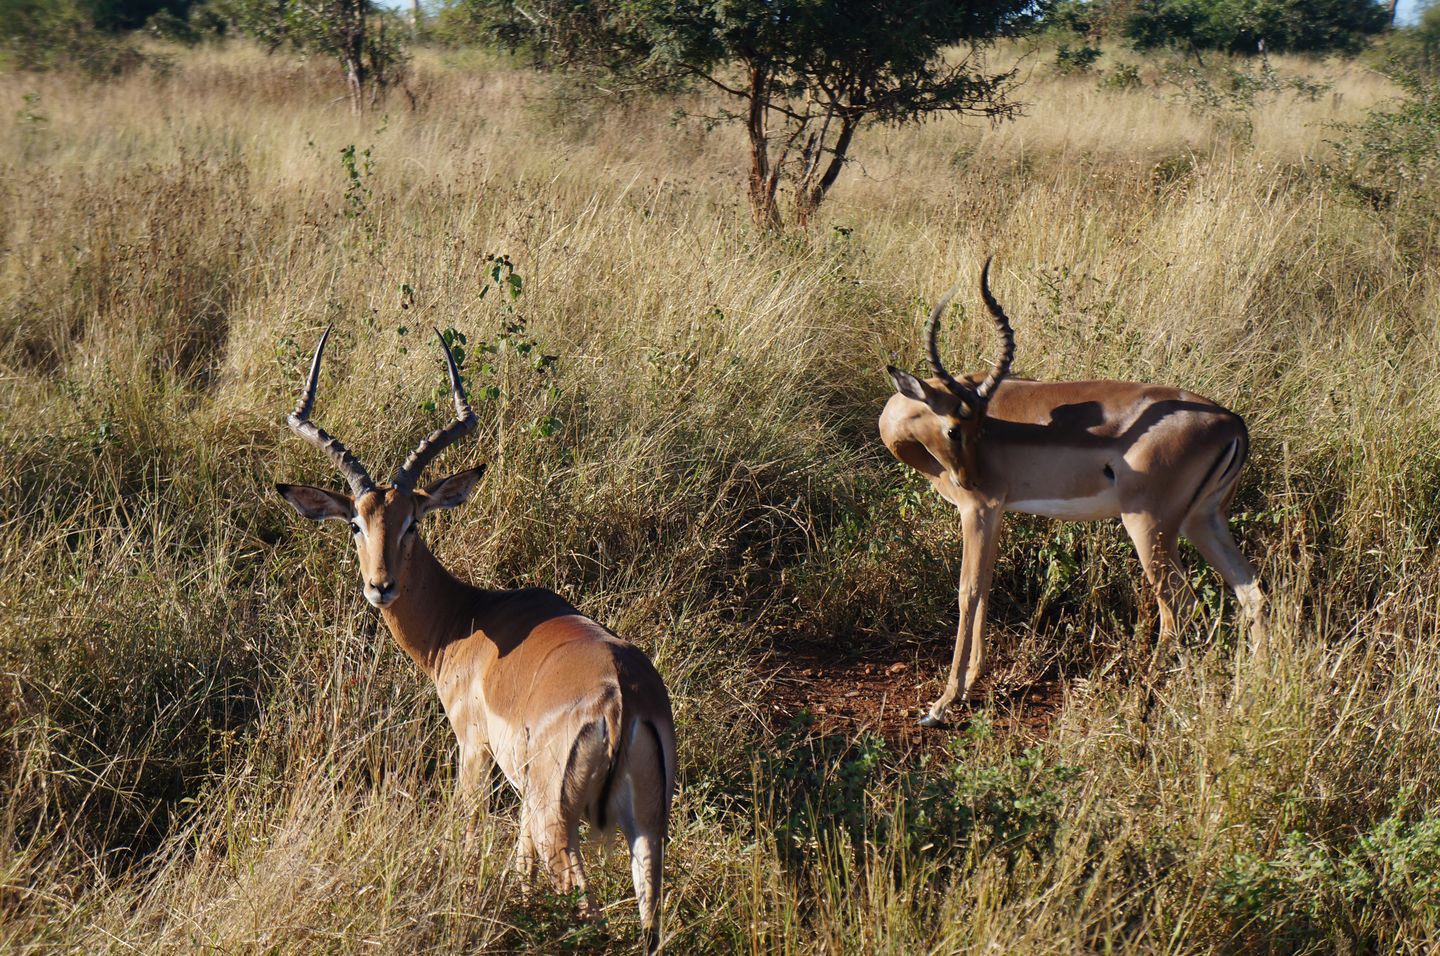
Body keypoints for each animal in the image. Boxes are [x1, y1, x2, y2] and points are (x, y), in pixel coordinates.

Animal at [275, 329, 676, 951]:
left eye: (413, 520)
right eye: (356, 522)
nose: (380, 586)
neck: (466, 622)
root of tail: (623, 700)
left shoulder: (472, 748)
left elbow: (466, 831)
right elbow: (520, 866)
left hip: (559, 817)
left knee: (584, 903)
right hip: (647, 828)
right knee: (648, 917)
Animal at [881, 260, 1268, 727]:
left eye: (975, 429)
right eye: (960, 428)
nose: (969, 479)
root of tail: (1233, 423)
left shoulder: (978, 508)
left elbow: (968, 590)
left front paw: (943, 703)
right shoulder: (996, 512)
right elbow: (987, 585)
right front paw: (972, 684)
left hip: (1149, 526)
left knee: (1181, 606)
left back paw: (1139, 702)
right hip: (1203, 521)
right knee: (1252, 592)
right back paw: (1251, 698)